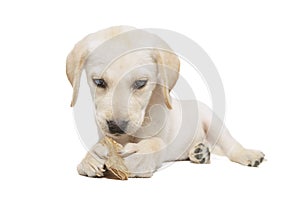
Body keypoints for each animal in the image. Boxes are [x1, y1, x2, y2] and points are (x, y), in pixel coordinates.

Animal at [67, 25, 264, 177]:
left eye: (141, 83)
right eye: (99, 82)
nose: (116, 126)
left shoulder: (161, 136)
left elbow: (155, 143)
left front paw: (140, 155)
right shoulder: (105, 134)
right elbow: (100, 144)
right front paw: (90, 158)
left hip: (213, 121)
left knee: (230, 144)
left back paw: (247, 154)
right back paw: (200, 152)